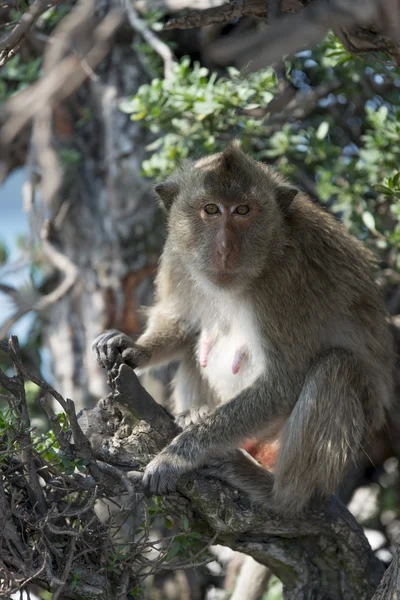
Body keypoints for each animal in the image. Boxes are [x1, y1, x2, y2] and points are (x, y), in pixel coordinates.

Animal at [91, 142, 394, 516]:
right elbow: (181, 322)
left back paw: (278, 493)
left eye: (243, 210)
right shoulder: (178, 255)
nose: (224, 249)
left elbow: (284, 382)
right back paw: (197, 412)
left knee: (336, 367)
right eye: (211, 209)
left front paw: (177, 456)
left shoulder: (285, 282)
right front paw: (130, 347)